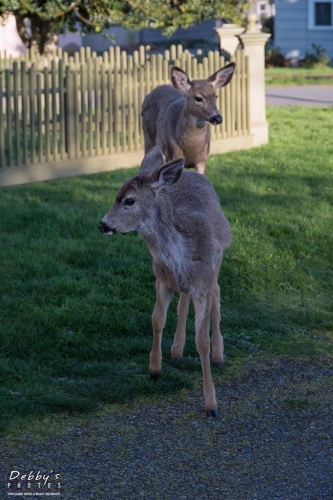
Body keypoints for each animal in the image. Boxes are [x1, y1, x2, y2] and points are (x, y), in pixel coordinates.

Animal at [98, 146, 231, 418]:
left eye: (129, 200)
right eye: (116, 195)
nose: (103, 225)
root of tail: (192, 174)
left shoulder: (202, 284)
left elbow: (202, 341)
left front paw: (211, 404)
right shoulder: (161, 278)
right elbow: (157, 320)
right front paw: (154, 369)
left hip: (217, 262)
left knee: (217, 293)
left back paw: (219, 355)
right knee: (183, 302)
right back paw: (177, 350)